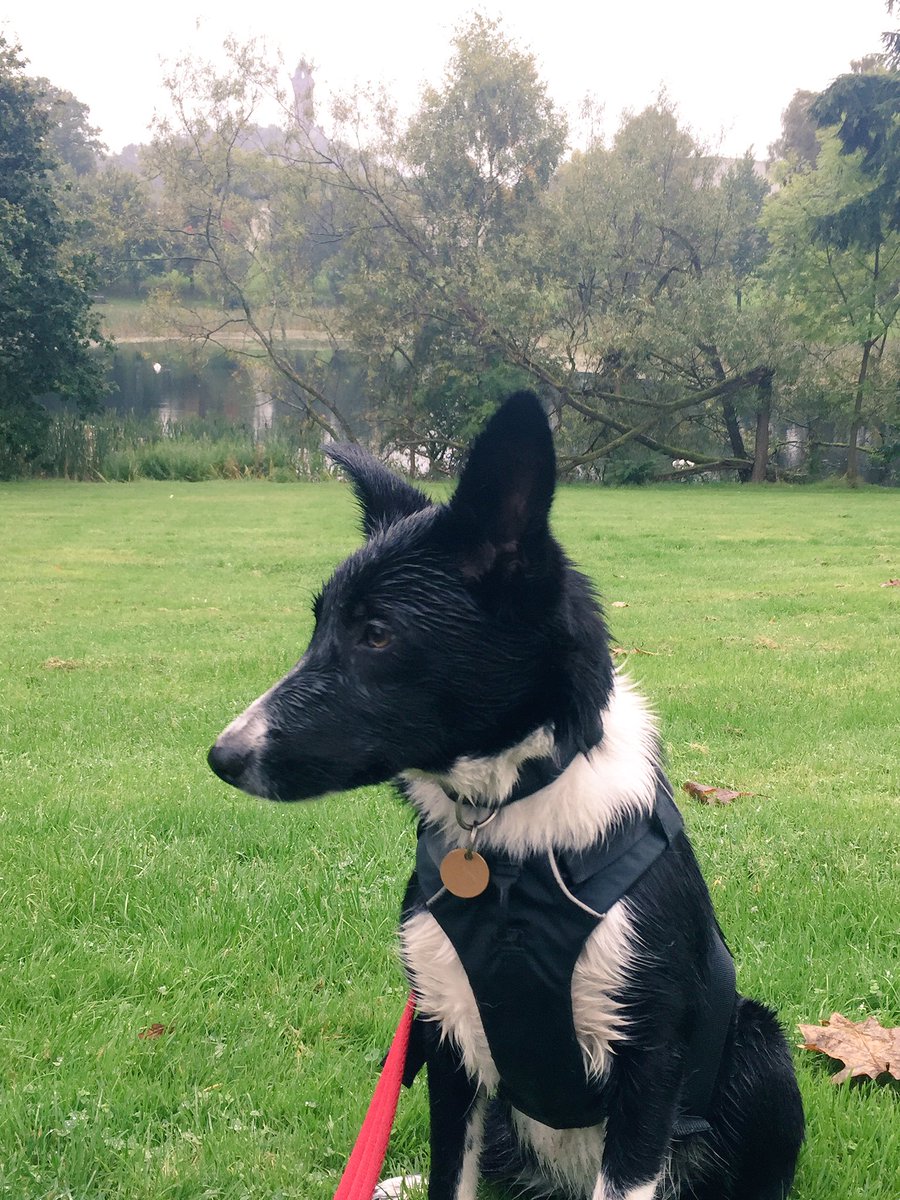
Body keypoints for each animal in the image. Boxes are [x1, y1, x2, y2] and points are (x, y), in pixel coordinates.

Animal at [210, 393, 801, 1200]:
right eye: (319, 625)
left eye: (377, 634)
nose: (223, 756)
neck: (506, 835)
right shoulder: (447, 1042)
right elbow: (447, 1175)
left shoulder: (648, 1065)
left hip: (761, 1051)